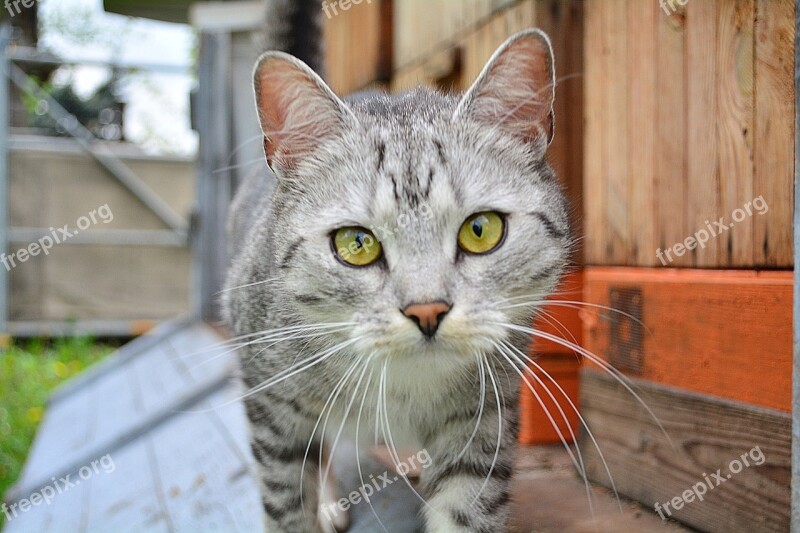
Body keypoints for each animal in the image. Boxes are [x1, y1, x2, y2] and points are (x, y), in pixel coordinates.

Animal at [225, 9, 572, 532]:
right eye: (356, 243)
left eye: (481, 230)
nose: (427, 310)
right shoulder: (271, 406)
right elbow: (287, 501)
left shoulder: (482, 421)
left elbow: (462, 508)